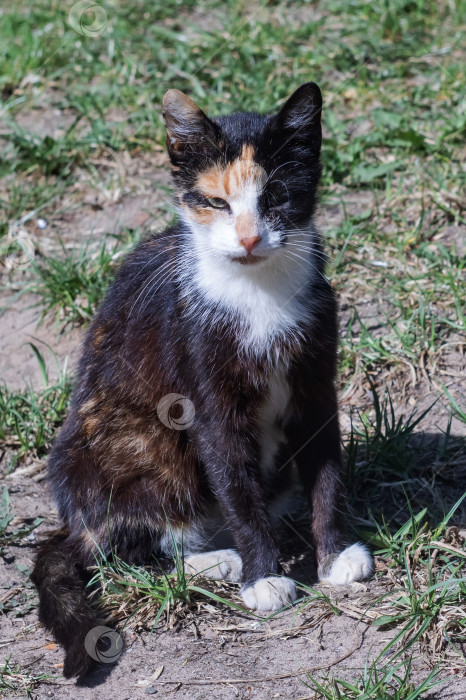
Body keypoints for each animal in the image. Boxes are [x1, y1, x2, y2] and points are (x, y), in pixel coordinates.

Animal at [31, 82, 372, 680]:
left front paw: (335, 554)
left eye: (275, 197)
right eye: (216, 204)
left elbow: (326, 470)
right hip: (134, 443)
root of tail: (71, 522)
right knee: (119, 550)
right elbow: (234, 484)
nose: (249, 238)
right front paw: (264, 577)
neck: (256, 292)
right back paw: (218, 561)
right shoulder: (206, 395)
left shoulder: (316, 381)